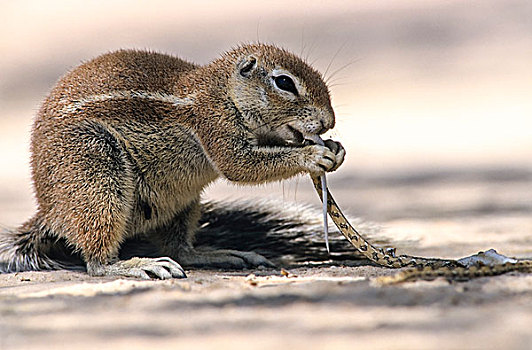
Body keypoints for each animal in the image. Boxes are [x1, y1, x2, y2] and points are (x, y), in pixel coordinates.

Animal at [0, 43, 344, 278]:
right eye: (284, 82)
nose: (329, 121)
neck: (224, 90)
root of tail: (51, 213)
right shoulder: (214, 123)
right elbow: (239, 165)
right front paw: (313, 154)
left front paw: (335, 148)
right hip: (95, 170)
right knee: (97, 262)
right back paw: (137, 265)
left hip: (182, 203)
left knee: (180, 250)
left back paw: (220, 254)